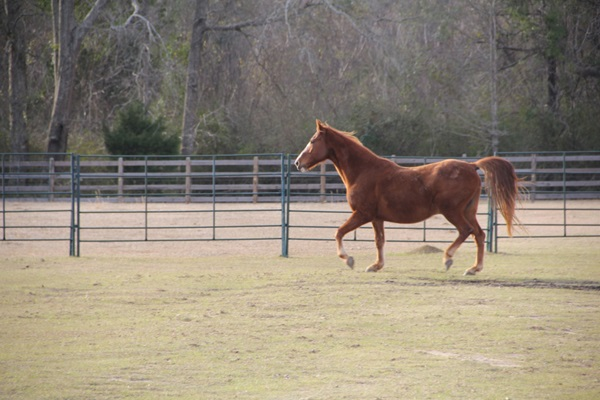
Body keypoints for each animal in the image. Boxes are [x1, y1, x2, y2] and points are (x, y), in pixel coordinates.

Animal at [292, 119, 516, 276]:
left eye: (313, 141)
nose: (297, 162)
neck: (364, 171)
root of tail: (471, 166)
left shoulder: (362, 214)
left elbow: (338, 232)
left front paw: (349, 260)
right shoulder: (376, 218)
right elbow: (379, 241)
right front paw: (376, 265)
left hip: (452, 211)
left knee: (466, 231)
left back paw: (448, 259)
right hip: (468, 210)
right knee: (479, 234)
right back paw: (473, 268)